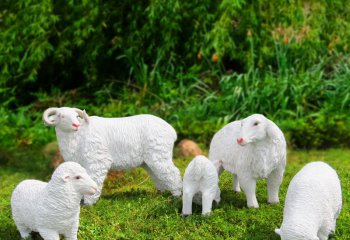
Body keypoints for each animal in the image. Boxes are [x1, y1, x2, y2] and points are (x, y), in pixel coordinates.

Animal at [42, 107, 182, 204]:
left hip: (159, 153)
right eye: (61, 116)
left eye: (76, 116)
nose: (75, 125)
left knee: (172, 172)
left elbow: (95, 179)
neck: (79, 135)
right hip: (148, 160)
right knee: (158, 175)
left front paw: (89, 203)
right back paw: (161, 194)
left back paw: (177, 195)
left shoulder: (97, 160)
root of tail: (171, 130)